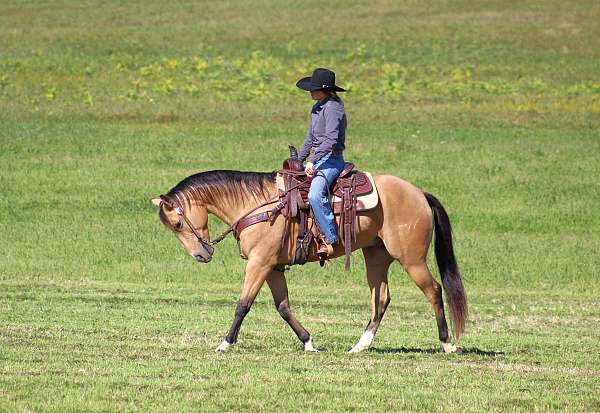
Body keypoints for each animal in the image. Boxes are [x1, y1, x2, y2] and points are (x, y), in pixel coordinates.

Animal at [151, 163, 468, 352]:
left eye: (177, 224)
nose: (201, 254)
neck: (258, 205)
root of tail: (419, 193)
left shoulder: (259, 264)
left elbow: (243, 305)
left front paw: (225, 343)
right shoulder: (274, 268)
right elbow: (283, 307)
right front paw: (309, 342)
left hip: (412, 259)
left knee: (433, 290)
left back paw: (447, 344)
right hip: (376, 256)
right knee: (381, 299)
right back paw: (359, 346)